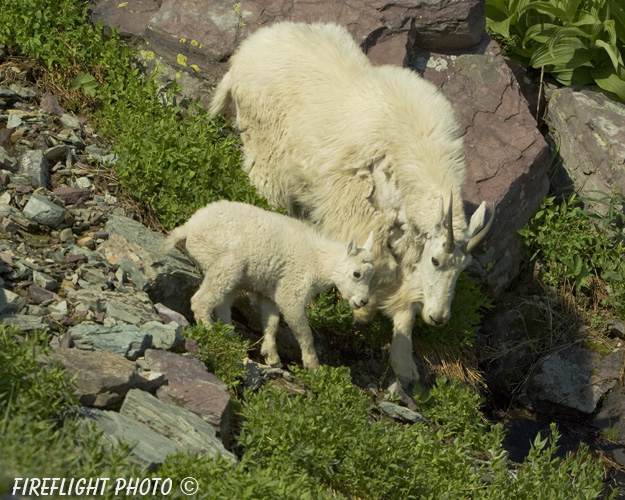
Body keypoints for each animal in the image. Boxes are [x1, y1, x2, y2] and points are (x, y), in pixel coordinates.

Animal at [210, 21, 492, 386]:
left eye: (462, 268)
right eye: (436, 260)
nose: (439, 317)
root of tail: (242, 57)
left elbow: (403, 300)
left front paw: (404, 363)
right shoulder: (357, 210)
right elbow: (378, 266)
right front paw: (364, 310)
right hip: (264, 151)